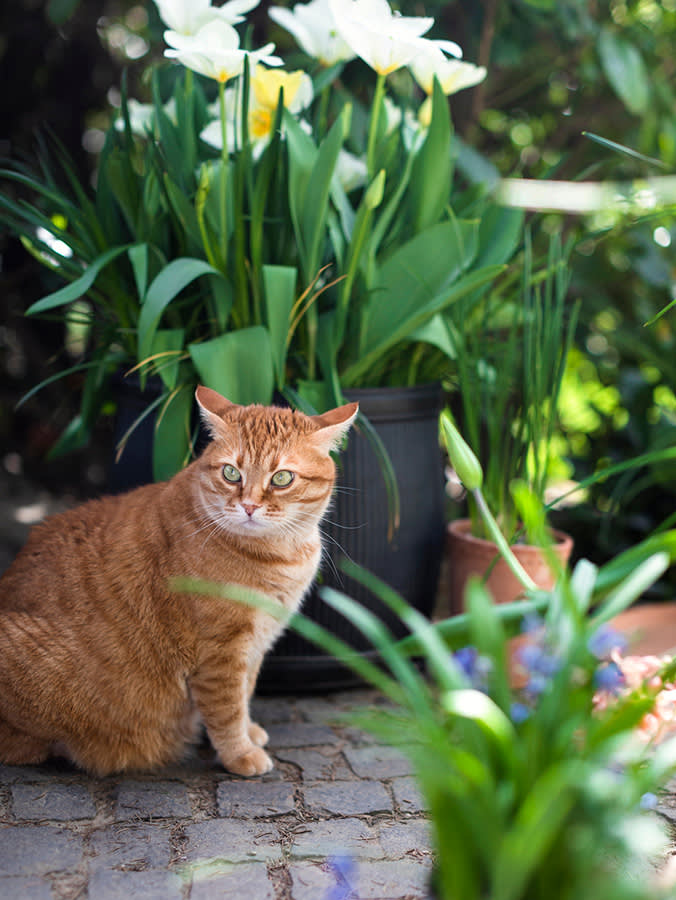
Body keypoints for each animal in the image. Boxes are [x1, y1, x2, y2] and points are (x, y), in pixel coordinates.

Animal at [0, 386, 360, 772]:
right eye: (231, 473)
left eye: (282, 478)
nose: (248, 506)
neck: (279, 554)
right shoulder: (220, 653)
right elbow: (227, 711)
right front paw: (241, 754)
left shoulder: (255, 645)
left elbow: (246, 693)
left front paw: (250, 731)